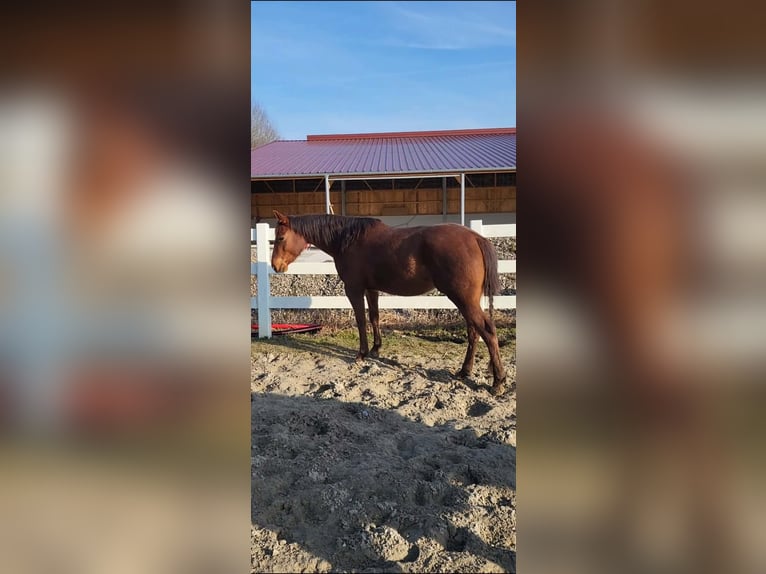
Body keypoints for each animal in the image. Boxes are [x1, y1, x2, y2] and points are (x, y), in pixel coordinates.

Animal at [270, 210, 508, 395]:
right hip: (467, 300)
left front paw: (362, 353)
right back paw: (464, 371)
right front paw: (376, 349)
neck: (347, 240)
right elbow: (374, 317)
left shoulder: (354, 289)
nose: (275, 266)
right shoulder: (371, 289)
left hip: (463, 299)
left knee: (487, 331)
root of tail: (475, 238)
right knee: (474, 332)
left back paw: (498, 382)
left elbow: (361, 320)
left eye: (280, 238)